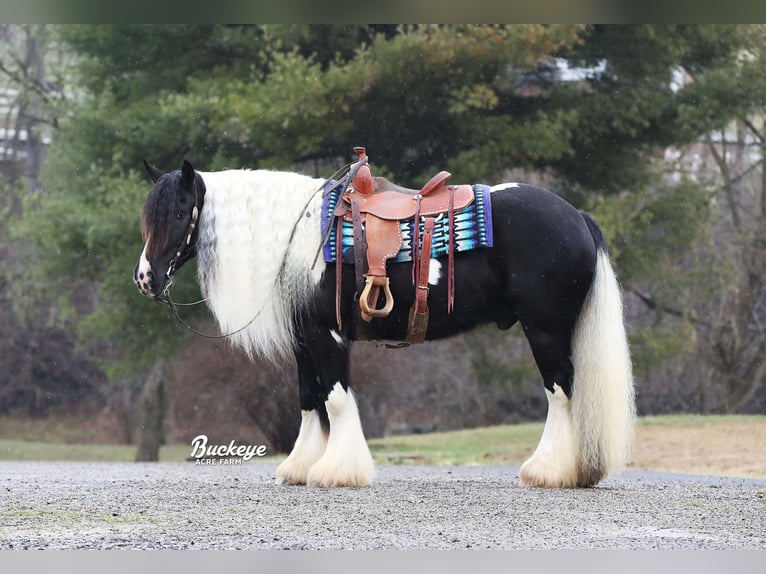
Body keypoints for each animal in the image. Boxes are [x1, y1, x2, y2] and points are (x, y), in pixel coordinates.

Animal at [135, 159, 640, 490]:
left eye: (178, 213)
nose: (145, 279)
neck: (301, 239)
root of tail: (577, 217)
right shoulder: (304, 340)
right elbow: (308, 399)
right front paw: (300, 467)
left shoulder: (329, 336)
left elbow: (336, 400)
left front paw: (338, 472)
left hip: (545, 330)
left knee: (561, 391)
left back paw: (549, 471)